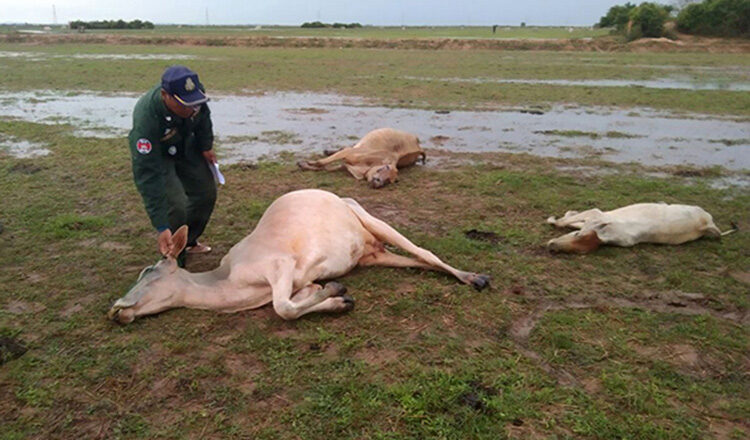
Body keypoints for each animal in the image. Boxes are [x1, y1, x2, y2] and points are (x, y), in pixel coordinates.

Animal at [108, 189, 490, 324]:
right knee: (416, 260)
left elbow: (283, 308)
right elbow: (299, 300)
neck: (229, 286)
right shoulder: (295, 282)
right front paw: (335, 298)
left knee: (425, 252)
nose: (115, 309)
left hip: (369, 218)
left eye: (147, 270)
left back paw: (475, 277)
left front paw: (336, 292)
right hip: (374, 255)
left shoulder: (281, 265)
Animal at [297, 128, 426, 188]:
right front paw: (305, 163)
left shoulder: (344, 166)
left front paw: (304, 165)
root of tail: (417, 144)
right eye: (386, 167)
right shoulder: (347, 153)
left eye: (391, 181)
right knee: (345, 147)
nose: (379, 182)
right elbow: (320, 162)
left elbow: (323, 168)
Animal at [546, 203, 737, 253]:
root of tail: (706, 225)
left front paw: (555, 217)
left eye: (577, 236)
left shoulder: (596, 213)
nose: (551, 246)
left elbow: (560, 222)